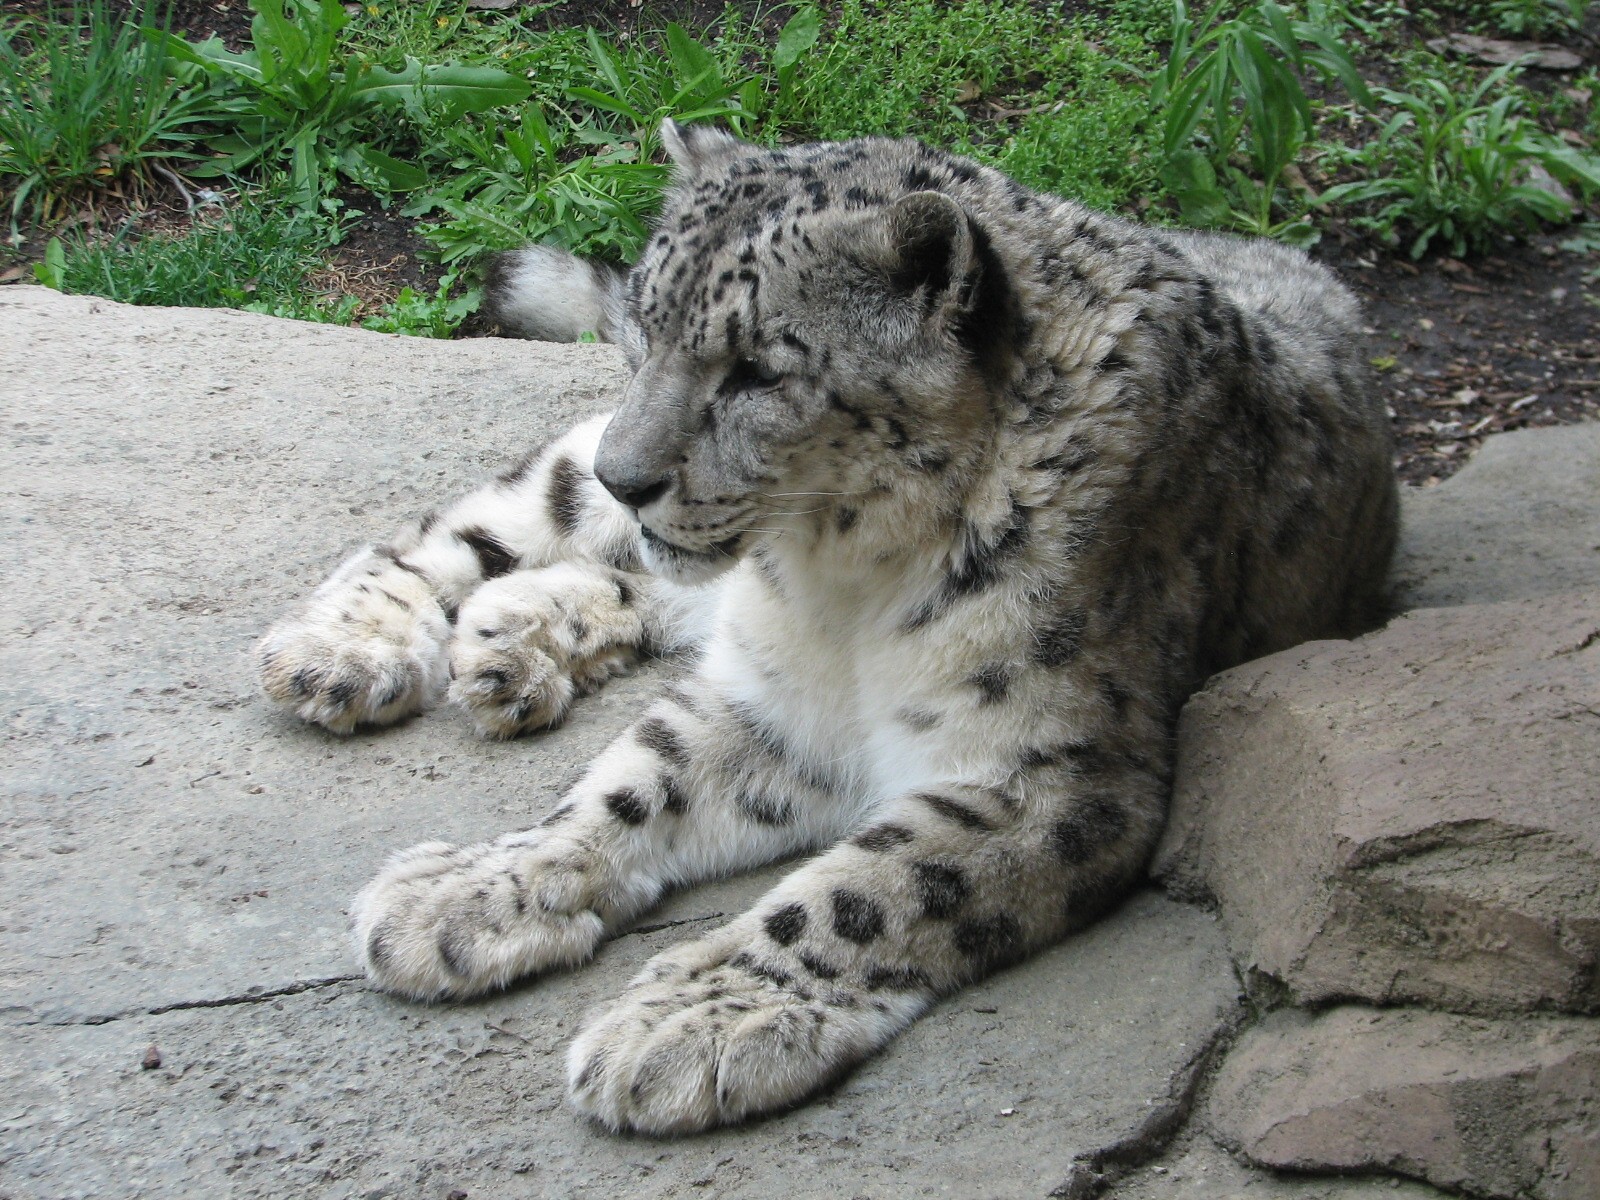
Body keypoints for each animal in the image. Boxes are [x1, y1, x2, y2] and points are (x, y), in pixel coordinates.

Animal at [256, 120, 1398, 1135]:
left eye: (759, 369)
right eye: (643, 334)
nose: (629, 479)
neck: (841, 588)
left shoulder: (1051, 767)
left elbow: (868, 889)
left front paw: (684, 1025)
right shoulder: (782, 705)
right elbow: (629, 784)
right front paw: (468, 894)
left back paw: (511, 641)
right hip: (562, 481)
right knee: (465, 530)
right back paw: (348, 654)